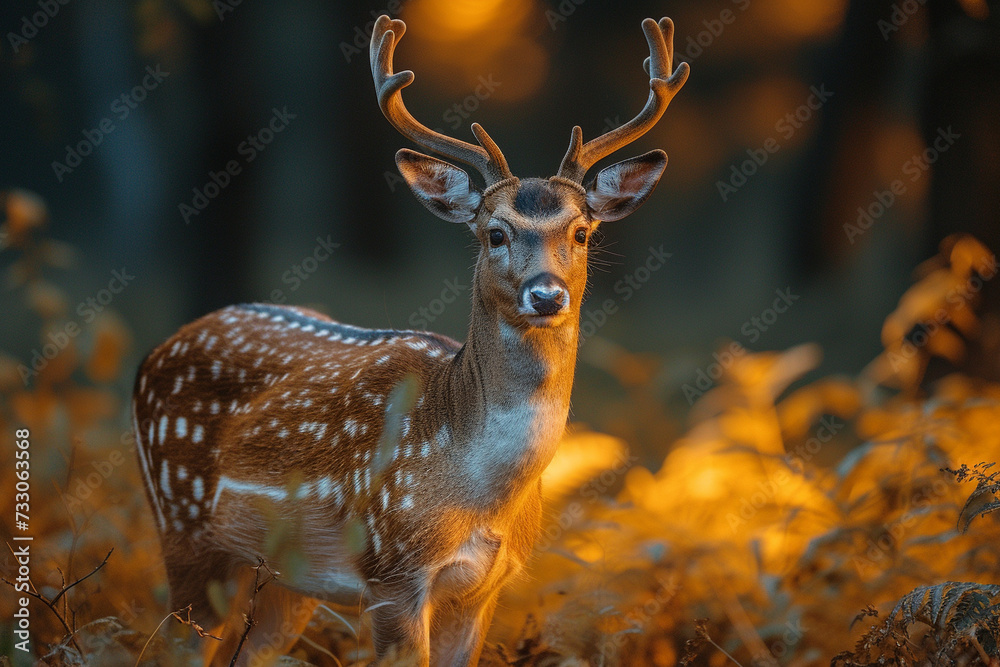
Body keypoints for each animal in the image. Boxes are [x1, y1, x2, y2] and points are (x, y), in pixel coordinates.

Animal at [132, 13, 688, 667]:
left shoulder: (485, 588)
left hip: (282, 580)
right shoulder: (391, 573)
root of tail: (153, 353)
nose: (547, 295)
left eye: (580, 231)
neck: (479, 494)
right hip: (183, 525)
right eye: (494, 232)